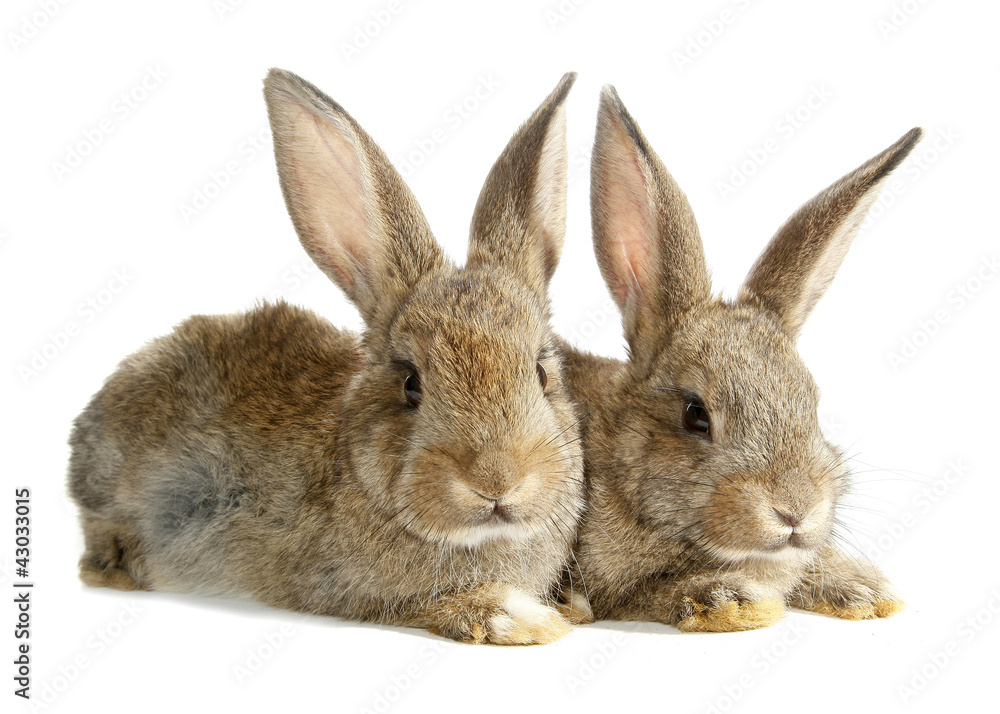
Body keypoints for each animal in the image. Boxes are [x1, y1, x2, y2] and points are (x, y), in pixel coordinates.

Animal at [67, 68, 590, 645]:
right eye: (411, 383)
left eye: (540, 373)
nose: (497, 480)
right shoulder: (342, 587)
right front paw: (520, 619)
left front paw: (569, 607)